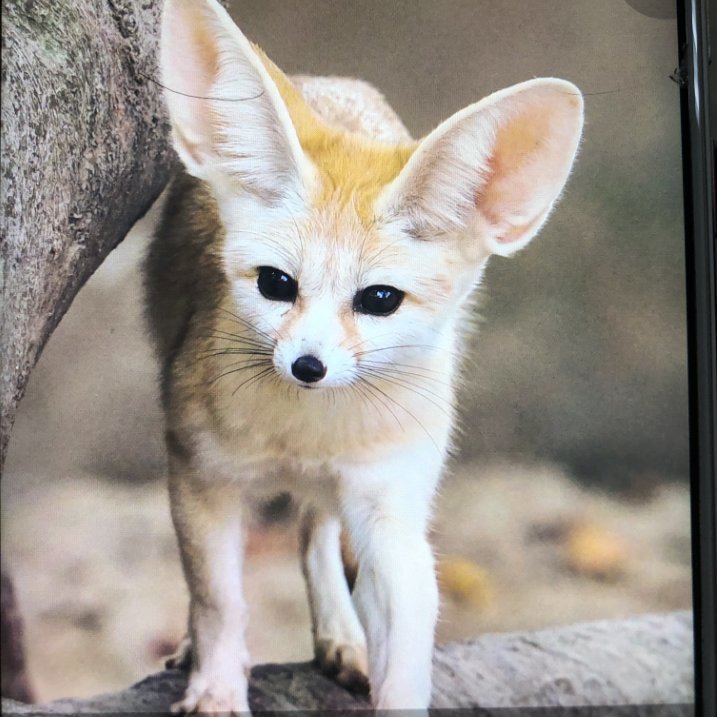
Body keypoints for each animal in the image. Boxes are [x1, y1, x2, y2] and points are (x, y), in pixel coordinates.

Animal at [144, 0, 580, 712]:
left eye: (379, 299)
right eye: (276, 285)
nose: (308, 367)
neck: (304, 437)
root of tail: (330, 81)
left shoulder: (392, 512)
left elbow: (405, 652)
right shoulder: (201, 473)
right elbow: (219, 601)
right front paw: (216, 687)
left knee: (315, 534)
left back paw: (340, 636)